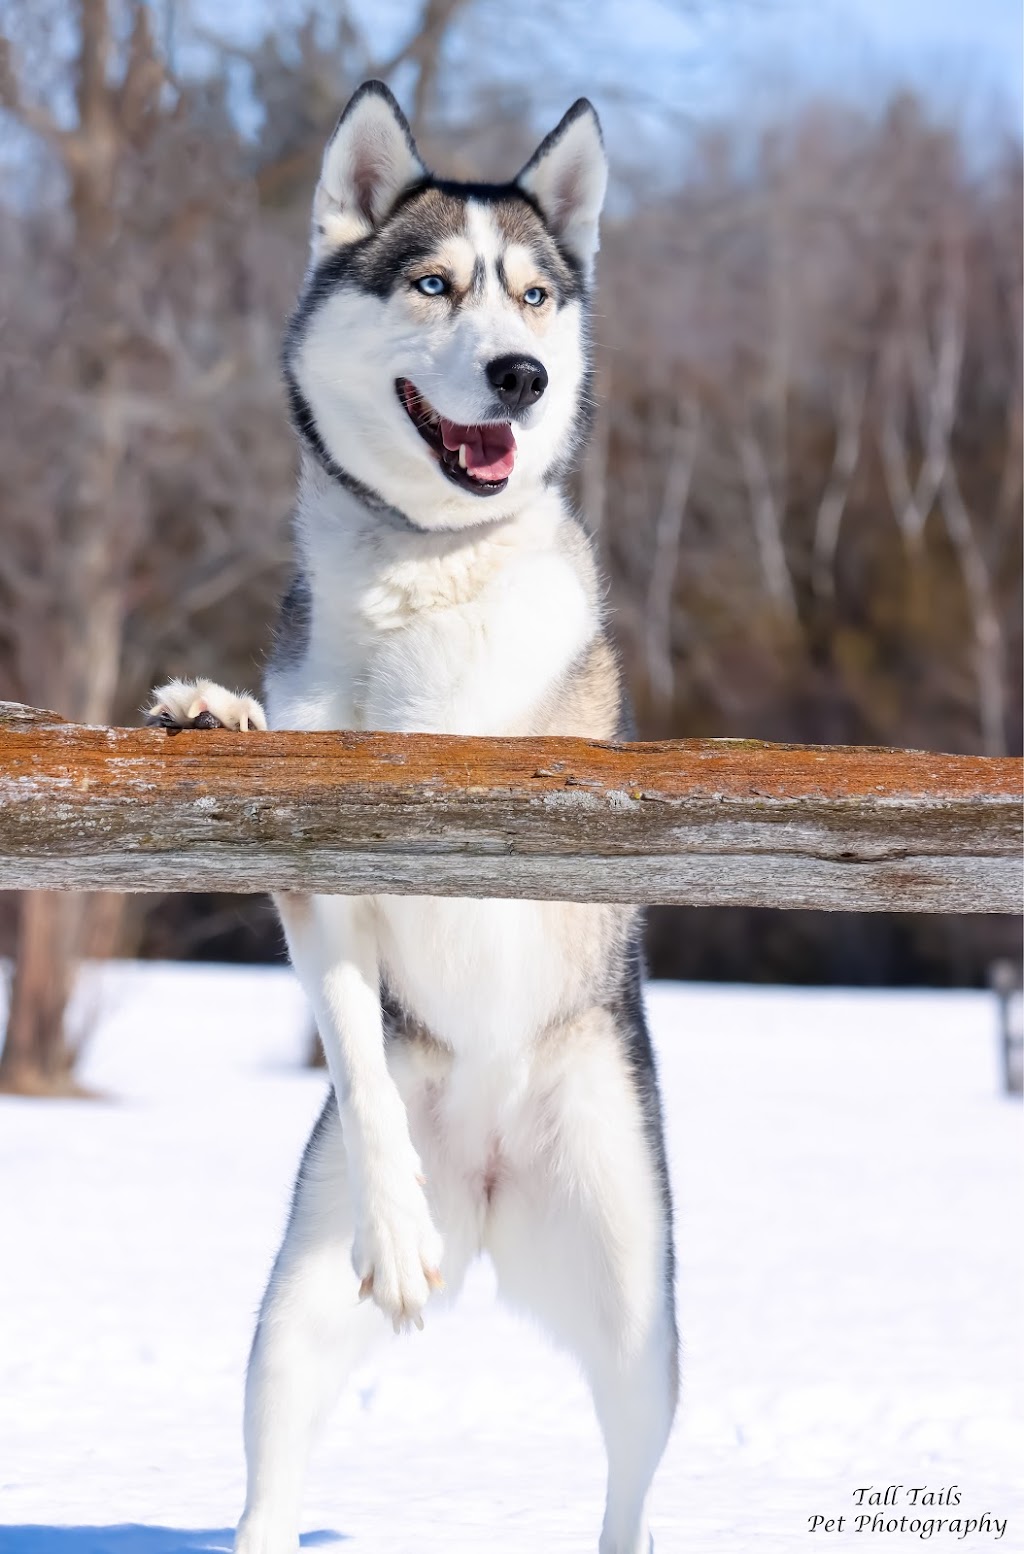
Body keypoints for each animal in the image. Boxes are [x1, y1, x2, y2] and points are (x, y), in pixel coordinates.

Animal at [149, 81, 680, 1554]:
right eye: (435, 283)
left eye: (537, 297)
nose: (519, 377)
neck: (421, 569)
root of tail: (495, 1174)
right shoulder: (319, 891)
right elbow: (352, 1040)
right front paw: (219, 708)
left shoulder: (532, 747)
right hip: (289, 1319)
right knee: (272, 1472)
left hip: (641, 1312)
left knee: (633, 1480)